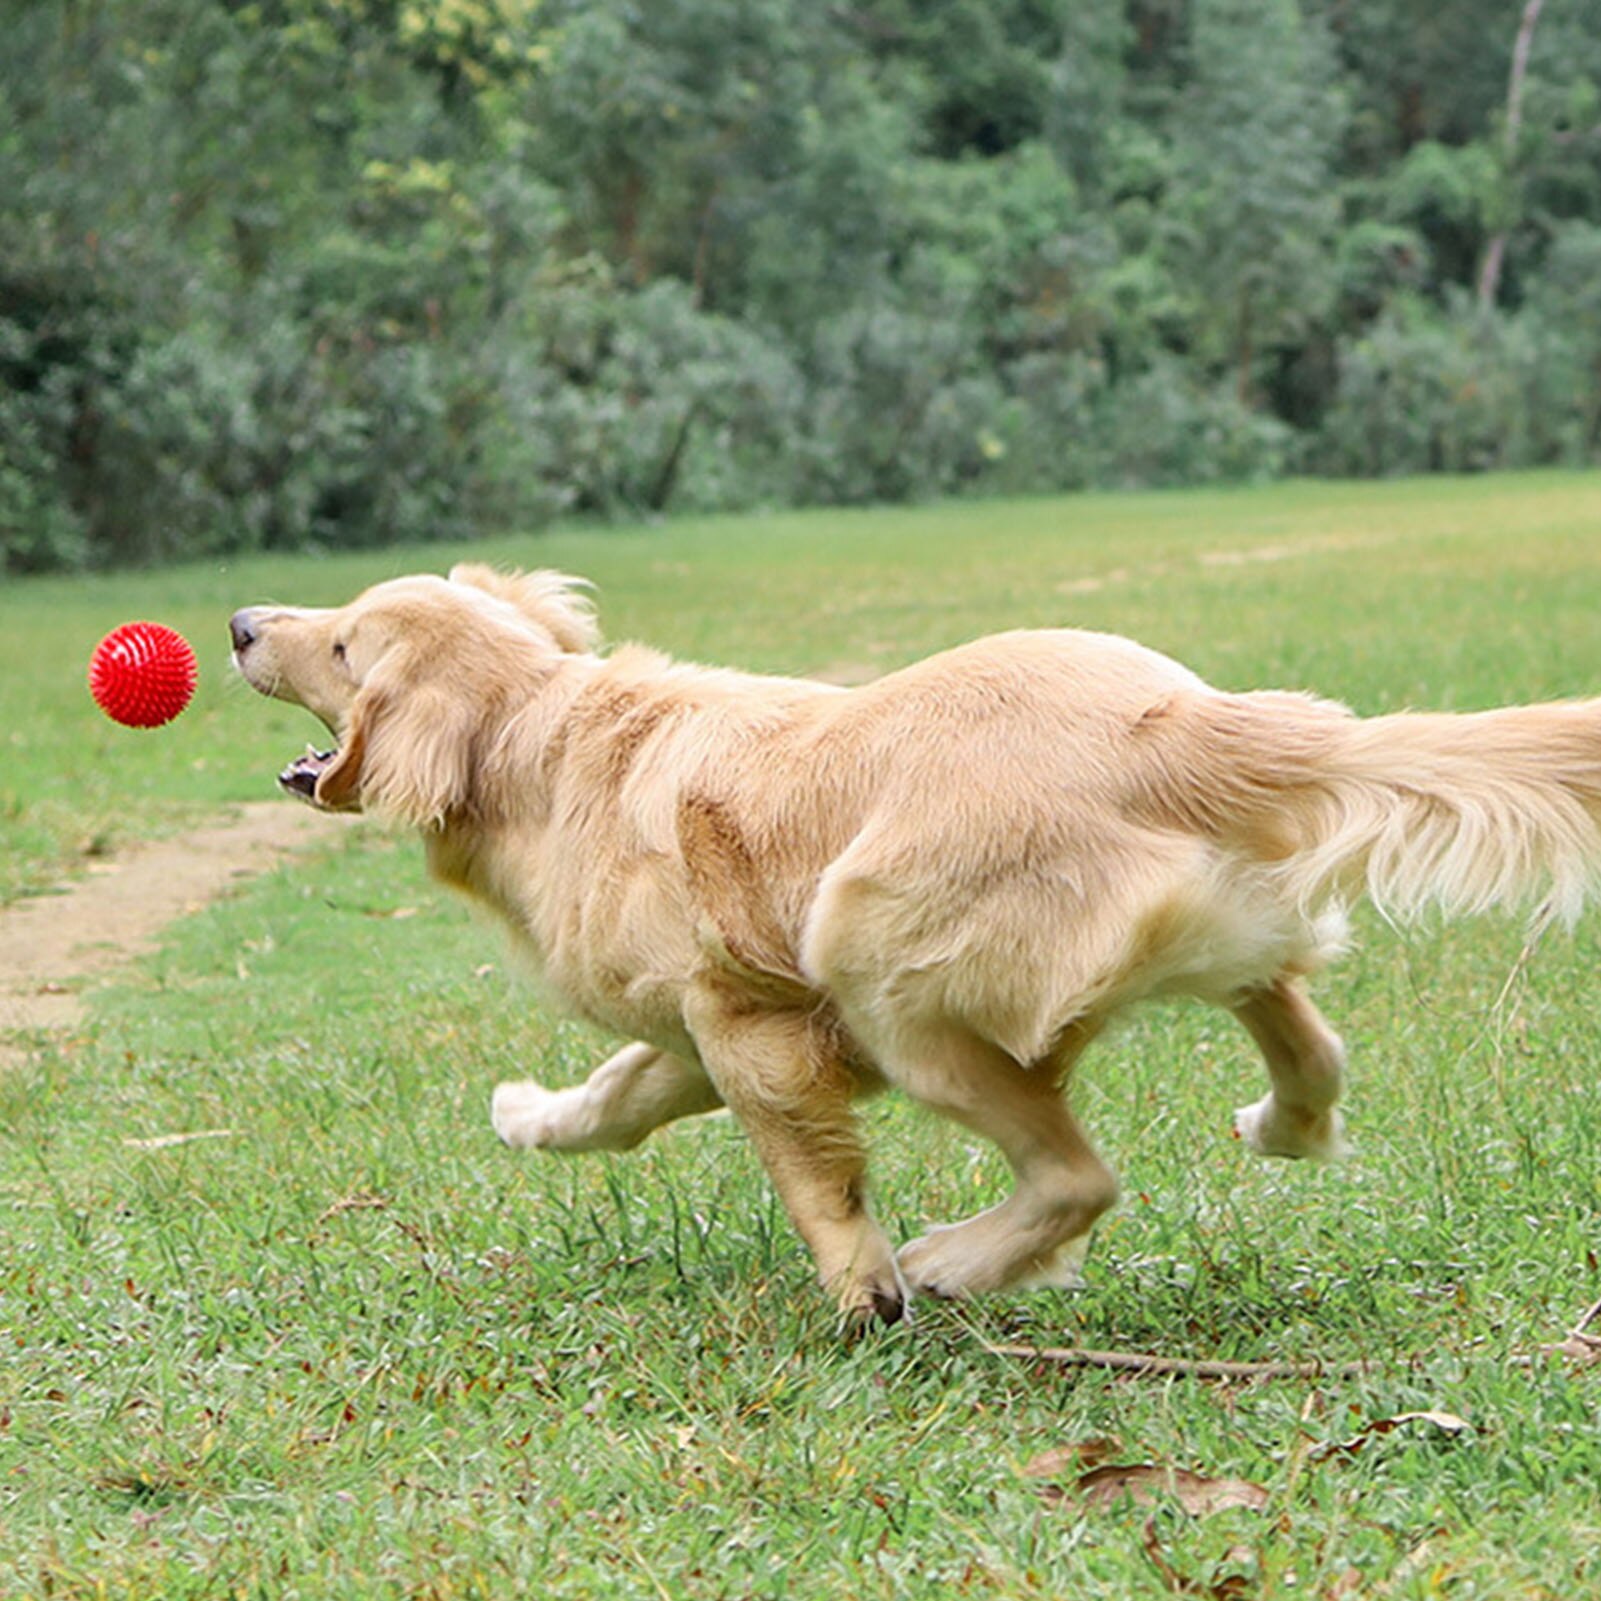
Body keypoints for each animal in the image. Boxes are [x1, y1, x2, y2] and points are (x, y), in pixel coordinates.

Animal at [232, 569, 1601, 1319]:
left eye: (344, 642)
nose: (242, 619)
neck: (535, 737)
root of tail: (1183, 720)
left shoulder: (755, 1029)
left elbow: (810, 1174)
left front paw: (863, 1288)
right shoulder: (702, 1022)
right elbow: (615, 1099)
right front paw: (528, 1114)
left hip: (873, 954)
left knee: (1076, 1174)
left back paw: (952, 1264)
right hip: (1216, 923)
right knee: (1309, 1047)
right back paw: (1277, 1124)